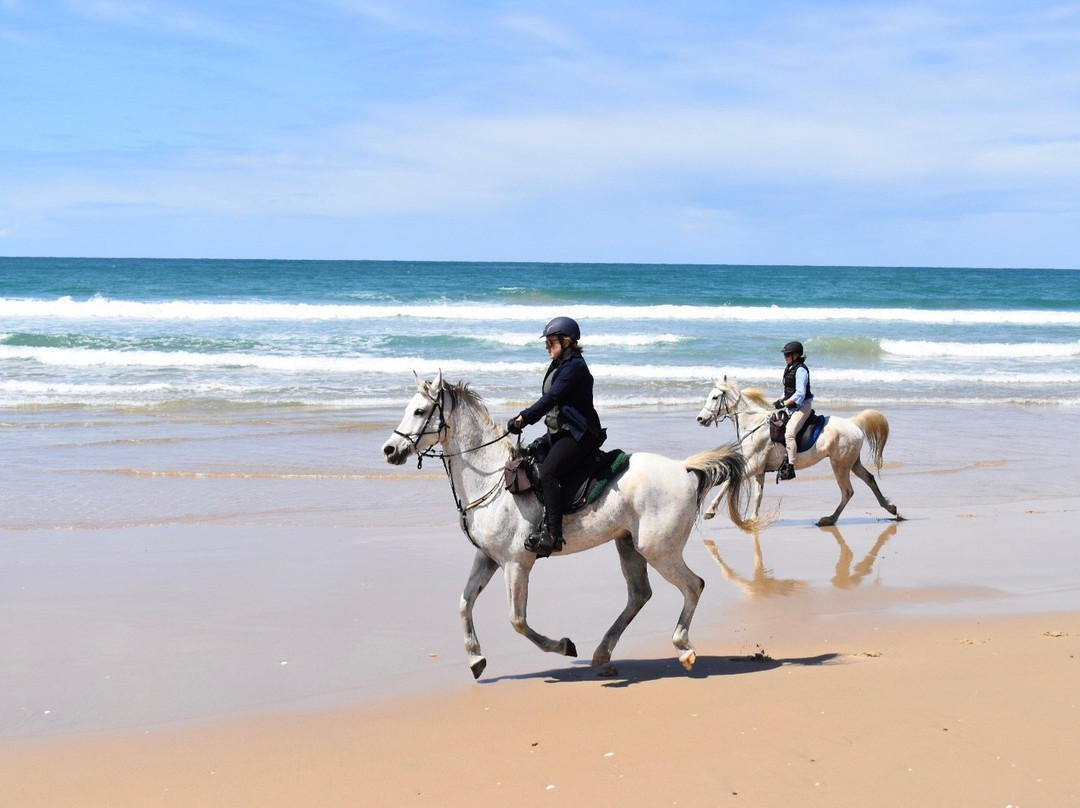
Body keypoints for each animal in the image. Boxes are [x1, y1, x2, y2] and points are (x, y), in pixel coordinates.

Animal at [382, 371, 760, 678]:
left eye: (419, 412)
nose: (390, 450)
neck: (492, 478)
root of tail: (682, 469)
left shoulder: (516, 564)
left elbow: (517, 621)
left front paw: (563, 645)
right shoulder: (488, 558)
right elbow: (464, 603)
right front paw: (475, 658)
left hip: (658, 549)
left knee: (693, 586)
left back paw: (682, 648)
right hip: (628, 545)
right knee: (640, 594)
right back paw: (603, 652)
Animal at [695, 376, 902, 527]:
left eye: (714, 397)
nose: (700, 419)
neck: (753, 424)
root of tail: (852, 423)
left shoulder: (753, 465)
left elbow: (729, 481)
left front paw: (710, 512)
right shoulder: (758, 470)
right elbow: (757, 495)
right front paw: (753, 519)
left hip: (840, 465)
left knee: (847, 491)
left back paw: (829, 519)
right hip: (851, 462)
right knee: (869, 479)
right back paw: (890, 508)